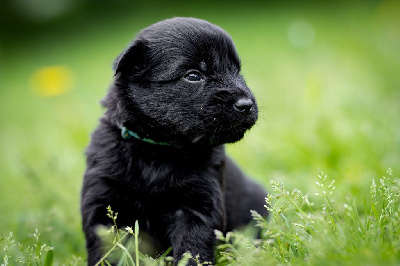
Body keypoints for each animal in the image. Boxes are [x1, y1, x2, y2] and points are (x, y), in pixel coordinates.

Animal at [81, 17, 268, 264]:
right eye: (193, 75)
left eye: (236, 70)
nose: (246, 104)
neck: (157, 150)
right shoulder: (104, 199)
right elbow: (106, 248)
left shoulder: (196, 204)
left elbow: (192, 246)